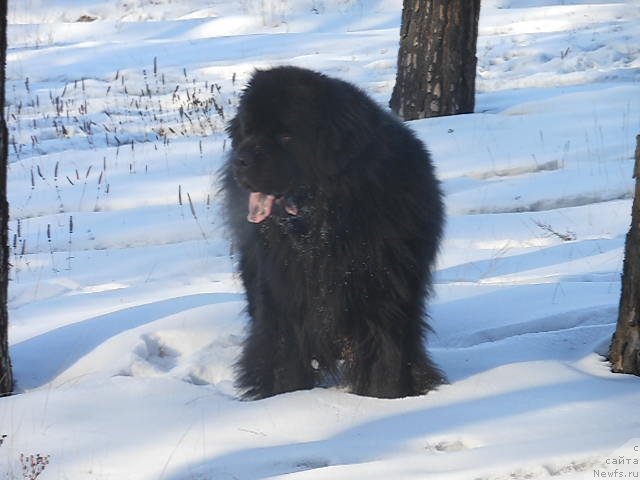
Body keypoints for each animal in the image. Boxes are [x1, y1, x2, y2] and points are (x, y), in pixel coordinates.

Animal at [222, 65, 442, 400]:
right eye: (248, 131)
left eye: (286, 135)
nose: (240, 161)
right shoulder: (282, 300)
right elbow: (281, 358)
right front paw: (281, 399)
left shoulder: (386, 297)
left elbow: (388, 357)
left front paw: (388, 397)